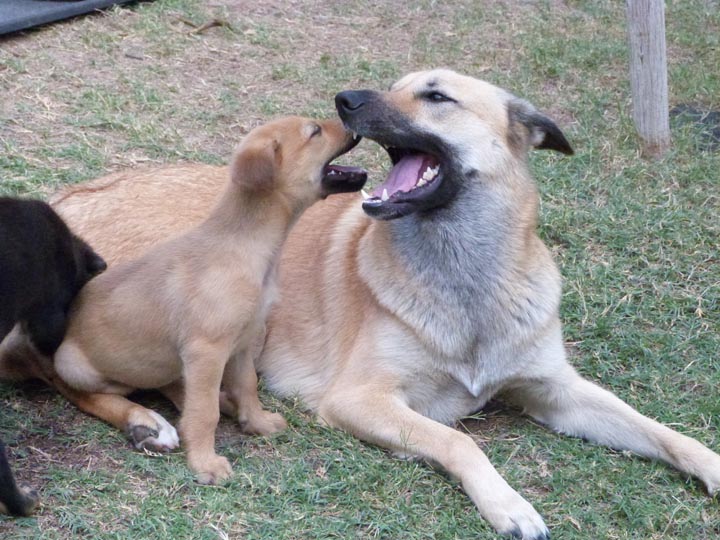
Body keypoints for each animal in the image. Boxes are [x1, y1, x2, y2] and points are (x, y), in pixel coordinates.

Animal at [50, 115, 366, 486]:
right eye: (314, 131)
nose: (353, 122)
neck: (244, 246)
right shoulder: (207, 351)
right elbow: (204, 413)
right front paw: (205, 463)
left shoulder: (243, 342)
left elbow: (247, 386)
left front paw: (256, 422)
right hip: (74, 365)